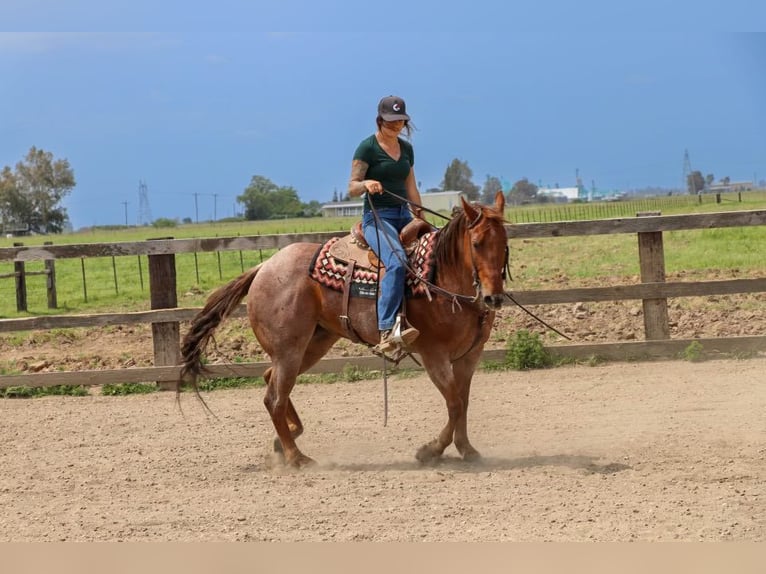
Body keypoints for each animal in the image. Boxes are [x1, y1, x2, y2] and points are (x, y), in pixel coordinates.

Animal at [182, 191, 510, 470]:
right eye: (477, 243)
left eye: (505, 243)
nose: (493, 298)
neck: (440, 276)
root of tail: (264, 267)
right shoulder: (434, 355)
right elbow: (454, 404)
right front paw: (430, 451)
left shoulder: (469, 356)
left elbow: (463, 403)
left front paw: (467, 449)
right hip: (290, 348)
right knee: (274, 397)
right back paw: (296, 457)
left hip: (314, 343)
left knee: (269, 380)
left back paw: (286, 439)